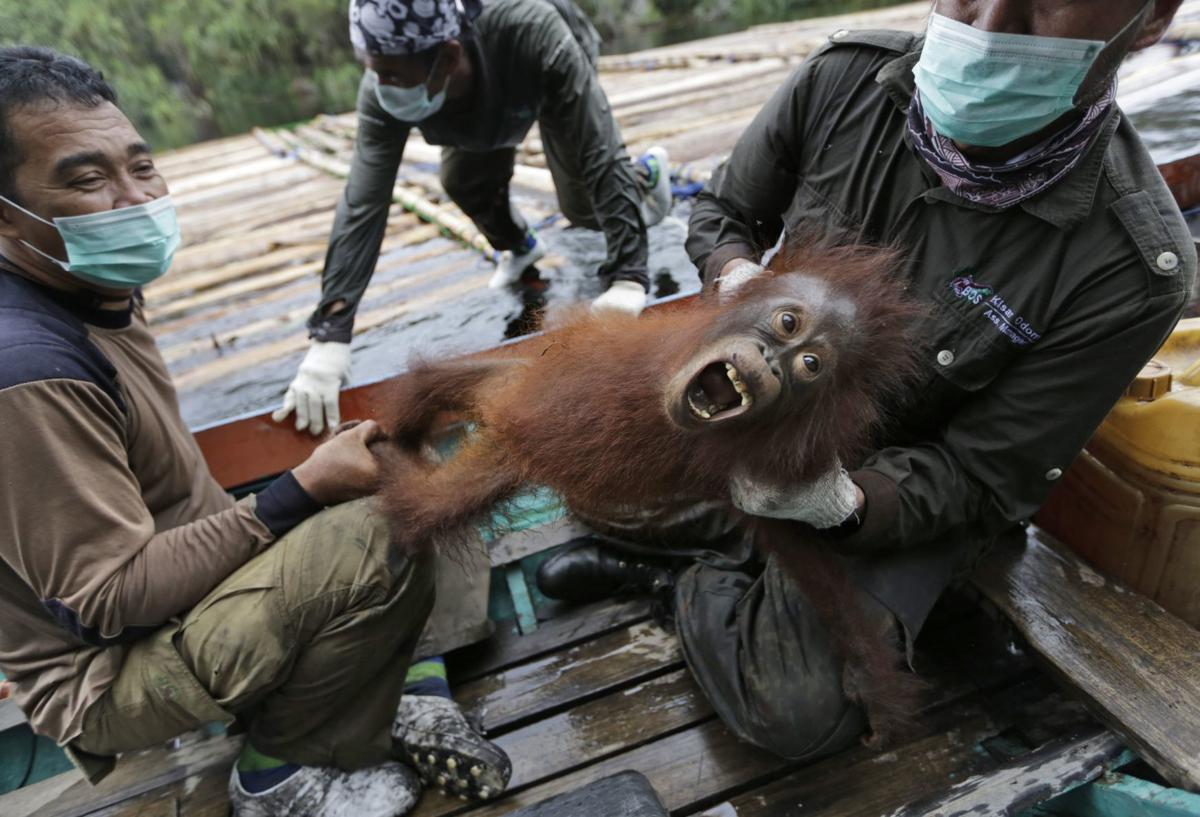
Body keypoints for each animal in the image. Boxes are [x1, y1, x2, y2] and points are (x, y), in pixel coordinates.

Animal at [376, 238, 927, 745]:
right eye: (788, 322)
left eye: (810, 364)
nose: (772, 362)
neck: (666, 401)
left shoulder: (754, 478)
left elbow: (807, 560)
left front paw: (870, 686)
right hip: (518, 382)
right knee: (435, 385)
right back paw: (396, 432)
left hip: (505, 443)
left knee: (427, 505)